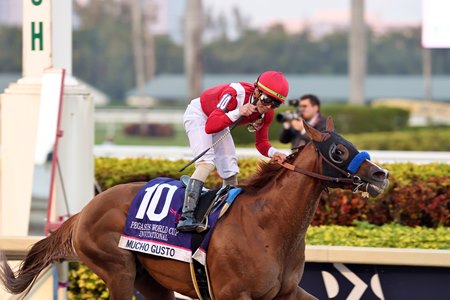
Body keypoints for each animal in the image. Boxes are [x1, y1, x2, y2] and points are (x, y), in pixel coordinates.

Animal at [0, 118, 388, 298]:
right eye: (339, 151)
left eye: (351, 145)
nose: (381, 175)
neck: (268, 226)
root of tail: (85, 211)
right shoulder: (233, 294)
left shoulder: (286, 292)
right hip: (117, 270)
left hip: (152, 281)